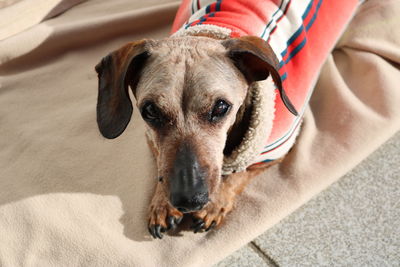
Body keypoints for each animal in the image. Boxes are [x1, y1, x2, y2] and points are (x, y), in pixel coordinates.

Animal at [96, 0, 304, 240]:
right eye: (150, 110)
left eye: (221, 107)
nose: (189, 200)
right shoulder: (151, 139)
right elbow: (160, 165)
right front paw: (163, 204)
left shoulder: (274, 152)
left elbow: (238, 175)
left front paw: (214, 205)